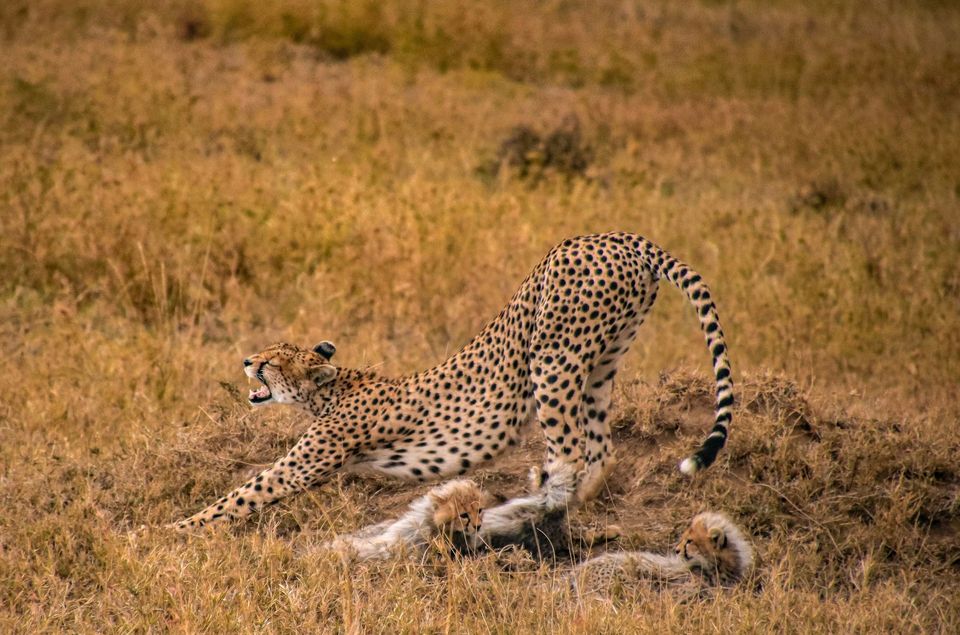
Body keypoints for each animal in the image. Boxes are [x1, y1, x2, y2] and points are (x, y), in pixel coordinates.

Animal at [171, 232, 734, 530]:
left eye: (271, 362)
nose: (247, 360)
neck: (332, 388)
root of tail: (618, 237)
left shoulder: (303, 463)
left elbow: (243, 493)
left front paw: (175, 530)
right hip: (600, 359)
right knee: (600, 448)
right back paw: (567, 501)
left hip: (552, 356)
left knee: (572, 448)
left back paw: (538, 506)